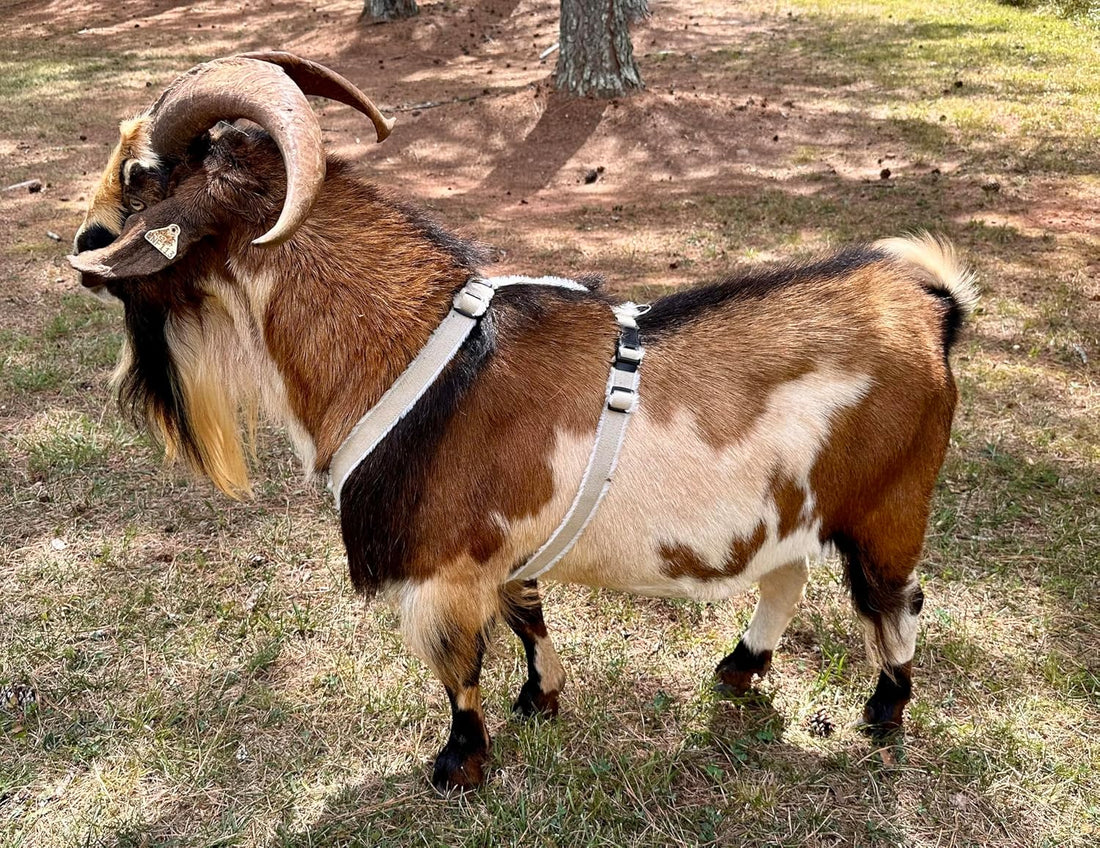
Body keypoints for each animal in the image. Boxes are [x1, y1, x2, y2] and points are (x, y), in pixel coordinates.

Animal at [69, 52, 977, 791]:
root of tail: (929, 310)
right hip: (795, 507)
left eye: (141, 173)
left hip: (888, 506)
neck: (404, 343)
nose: (82, 244)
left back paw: (883, 712)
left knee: (894, 600)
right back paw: (739, 668)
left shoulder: (446, 564)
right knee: (787, 576)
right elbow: (526, 616)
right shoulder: (502, 548)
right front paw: (540, 699)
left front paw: (459, 765)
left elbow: (457, 664)